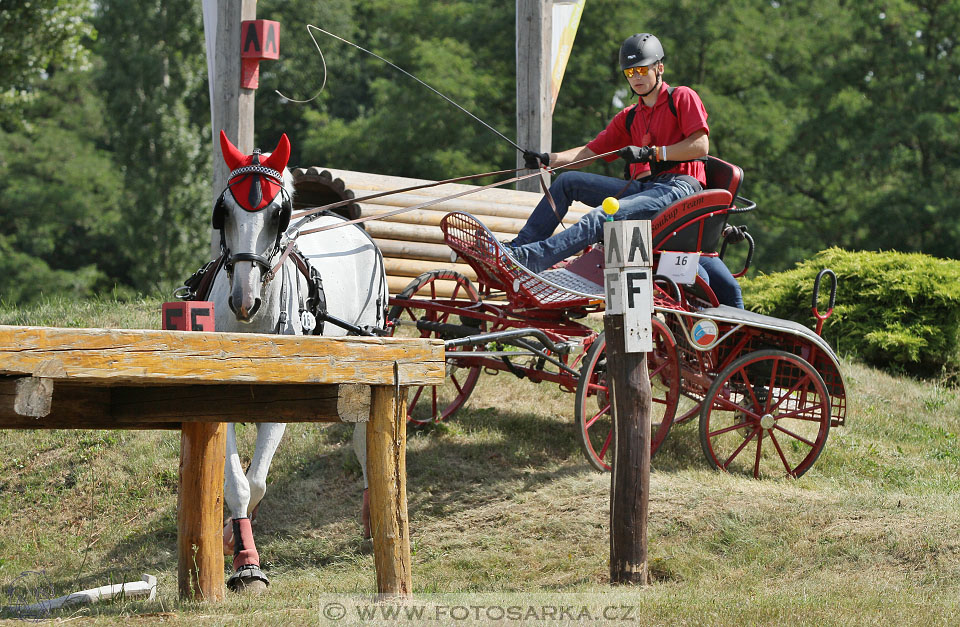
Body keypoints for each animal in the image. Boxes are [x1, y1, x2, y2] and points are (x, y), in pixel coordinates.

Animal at [208, 132, 384, 592]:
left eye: (278, 215)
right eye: (224, 211)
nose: (244, 300)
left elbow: (256, 481)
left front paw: (241, 549)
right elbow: (237, 483)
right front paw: (240, 552)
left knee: (362, 439)